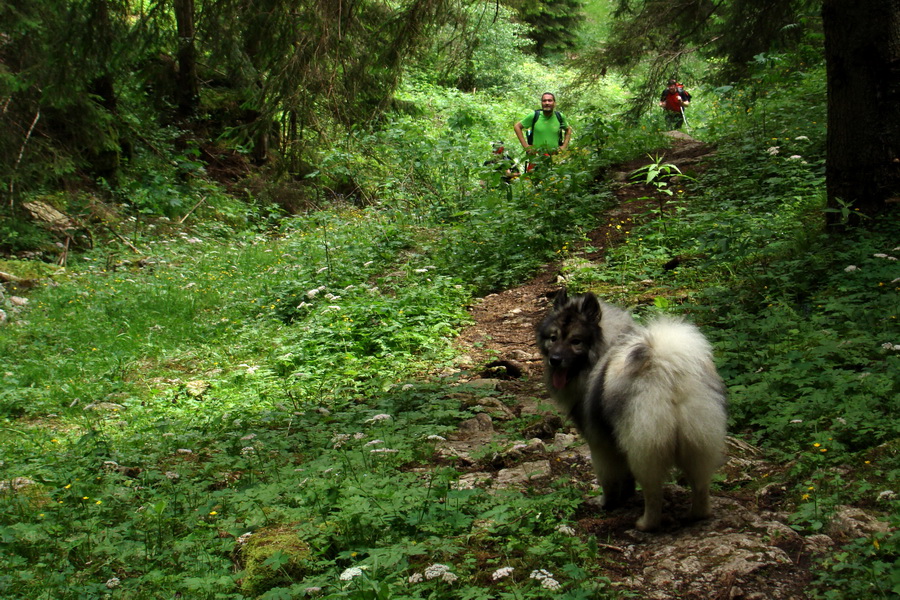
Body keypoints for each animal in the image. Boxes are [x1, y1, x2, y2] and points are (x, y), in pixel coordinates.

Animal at [536, 290, 728, 528]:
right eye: (553, 338)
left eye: (576, 341)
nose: (554, 360)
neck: (603, 350)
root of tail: (668, 370)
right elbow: (626, 478)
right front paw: (626, 496)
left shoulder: (600, 445)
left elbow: (608, 480)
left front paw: (607, 503)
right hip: (697, 442)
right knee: (700, 485)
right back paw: (697, 515)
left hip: (645, 447)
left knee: (653, 492)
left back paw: (646, 524)